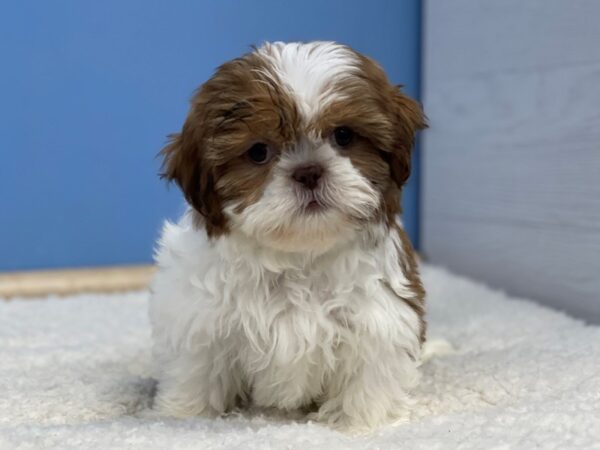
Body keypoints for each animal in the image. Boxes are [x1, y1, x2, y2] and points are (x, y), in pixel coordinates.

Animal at [149, 41, 426, 428]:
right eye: (258, 152)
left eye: (344, 136)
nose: (309, 171)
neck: (298, 258)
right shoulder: (201, 321)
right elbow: (197, 373)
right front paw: (185, 416)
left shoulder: (378, 319)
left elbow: (370, 379)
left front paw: (363, 422)